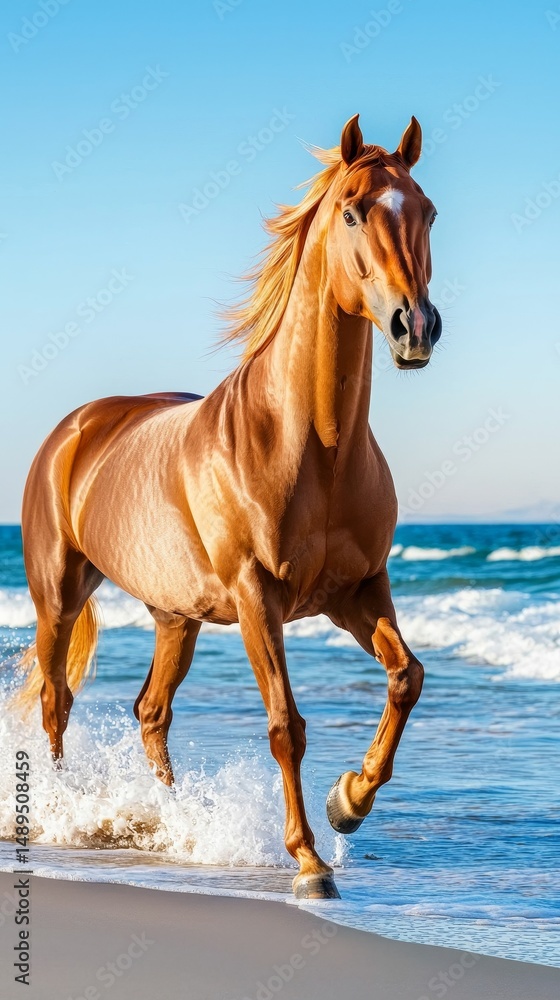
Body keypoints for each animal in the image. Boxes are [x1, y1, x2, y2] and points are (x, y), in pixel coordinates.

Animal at [17, 113, 441, 900]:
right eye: (352, 212)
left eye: (426, 212)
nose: (415, 327)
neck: (312, 446)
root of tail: (76, 427)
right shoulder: (256, 598)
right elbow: (284, 724)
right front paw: (308, 862)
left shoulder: (358, 591)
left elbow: (407, 677)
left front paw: (349, 801)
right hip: (58, 593)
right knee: (57, 699)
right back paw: (59, 810)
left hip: (174, 616)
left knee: (151, 712)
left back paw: (173, 821)